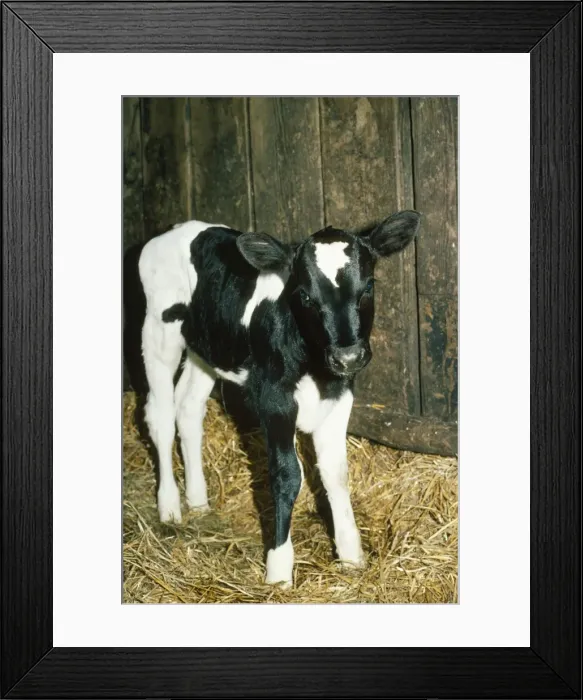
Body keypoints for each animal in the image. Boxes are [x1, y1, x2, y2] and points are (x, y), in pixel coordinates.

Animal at [138, 212, 420, 587]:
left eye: (368, 287)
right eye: (305, 296)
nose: (348, 357)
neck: (314, 367)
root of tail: (175, 229)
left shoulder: (340, 395)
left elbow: (336, 473)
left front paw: (351, 556)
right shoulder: (274, 400)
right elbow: (287, 475)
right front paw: (279, 569)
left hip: (208, 350)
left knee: (188, 408)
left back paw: (197, 500)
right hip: (159, 331)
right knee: (160, 416)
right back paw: (169, 507)